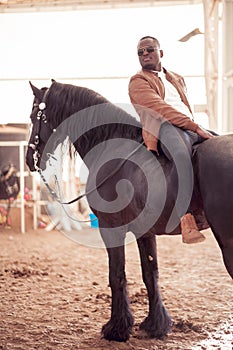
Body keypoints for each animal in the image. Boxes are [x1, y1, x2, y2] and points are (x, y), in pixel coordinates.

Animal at [26, 80, 233, 342]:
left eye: (33, 114)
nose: (28, 159)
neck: (115, 148)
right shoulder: (145, 232)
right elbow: (150, 274)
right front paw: (156, 325)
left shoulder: (110, 228)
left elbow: (117, 275)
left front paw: (117, 328)